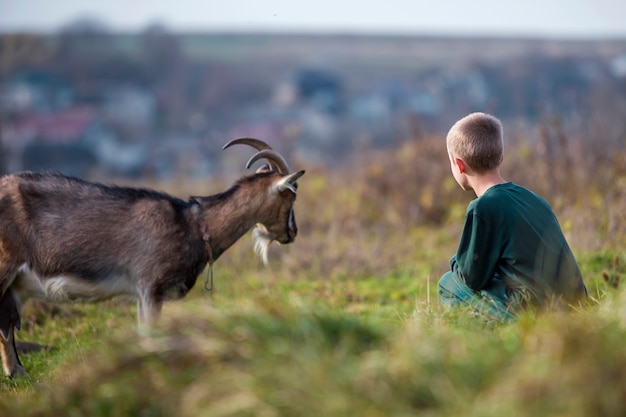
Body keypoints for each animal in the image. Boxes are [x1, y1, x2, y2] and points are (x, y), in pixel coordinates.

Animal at [0, 138, 304, 376]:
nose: (292, 233)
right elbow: (151, 333)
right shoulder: (151, 286)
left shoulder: (141, 292)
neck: (194, 224)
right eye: (291, 196)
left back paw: (17, 374)